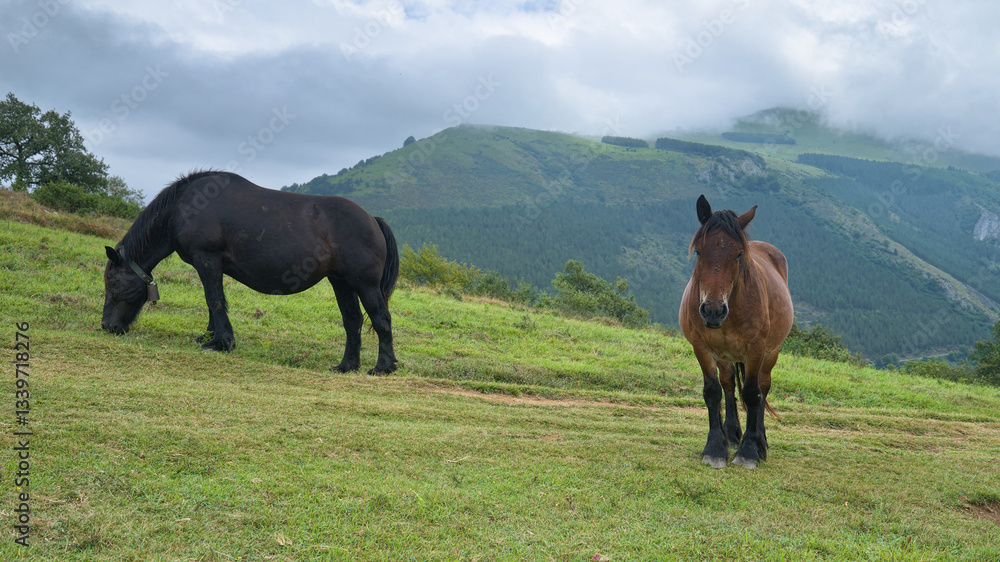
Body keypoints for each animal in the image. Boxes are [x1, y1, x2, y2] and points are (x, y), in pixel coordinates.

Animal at [101, 171, 399, 374]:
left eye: (113, 284)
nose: (107, 326)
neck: (185, 206)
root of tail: (372, 219)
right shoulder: (208, 266)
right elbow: (212, 303)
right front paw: (209, 336)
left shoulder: (207, 260)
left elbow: (215, 301)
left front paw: (221, 342)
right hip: (341, 282)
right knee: (353, 321)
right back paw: (347, 365)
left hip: (365, 284)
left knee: (381, 319)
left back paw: (383, 367)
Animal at [678, 195, 793, 468]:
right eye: (699, 251)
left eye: (739, 254)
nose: (713, 311)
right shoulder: (701, 348)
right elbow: (713, 392)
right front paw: (715, 447)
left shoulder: (756, 350)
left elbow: (752, 394)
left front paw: (750, 450)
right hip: (724, 356)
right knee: (728, 385)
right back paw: (730, 435)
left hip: (771, 353)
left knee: (763, 387)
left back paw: (760, 440)